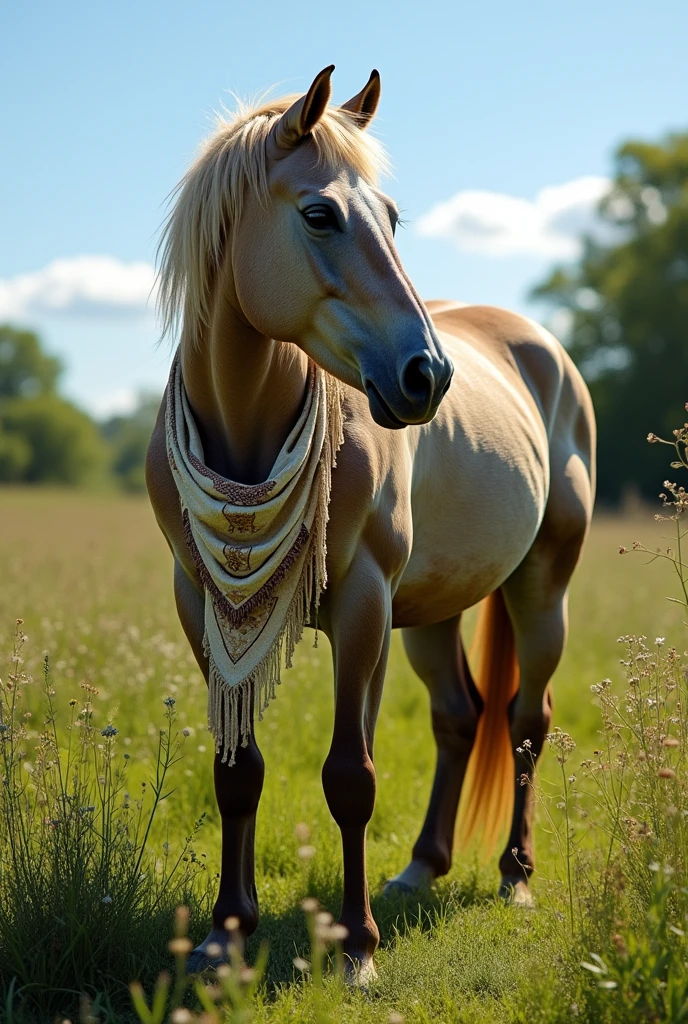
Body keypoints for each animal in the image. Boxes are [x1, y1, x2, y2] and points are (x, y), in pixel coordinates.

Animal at [146, 64, 597, 974]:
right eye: (320, 214)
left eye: (391, 218)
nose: (428, 375)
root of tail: (541, 348)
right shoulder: (200, 604)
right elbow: (237, 768)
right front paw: (226, 931)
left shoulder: (360, 606)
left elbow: (351, 776)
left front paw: (355, 947)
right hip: (431, 610)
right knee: (460, 716)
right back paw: (422, 867)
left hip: (542, 588)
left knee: (526, 721)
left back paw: (514, 874)